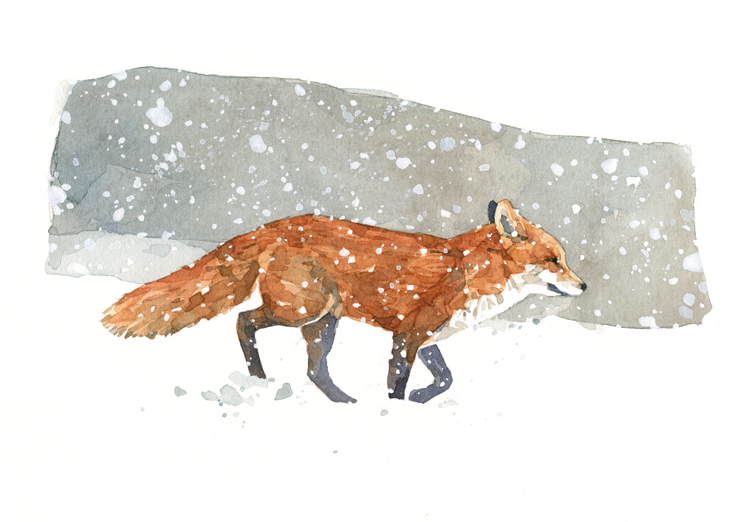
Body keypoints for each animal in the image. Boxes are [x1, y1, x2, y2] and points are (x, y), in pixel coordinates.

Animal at [102, 199, 586, 403]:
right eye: (553, 261)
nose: (583, 286)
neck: (468, 273)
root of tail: (272, 225)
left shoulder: (429, 338)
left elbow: (446, 379)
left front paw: (421, 400)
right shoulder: (408, 335)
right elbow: (396, 383)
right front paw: (397, 409)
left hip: (322, 324)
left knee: (314, 370)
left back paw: (340, 403)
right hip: (300, 310)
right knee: (243, 321)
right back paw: (258, 377)